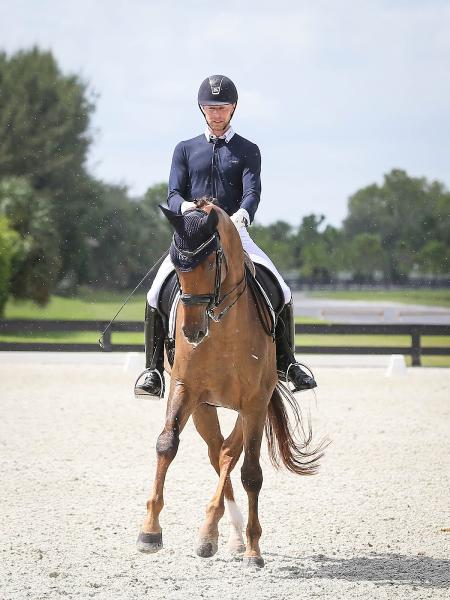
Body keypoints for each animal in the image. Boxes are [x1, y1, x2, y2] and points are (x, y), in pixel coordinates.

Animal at [135, 198, 326, 568]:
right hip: (205, 409)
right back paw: (216, 534)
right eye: (177, 266)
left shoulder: (255, 402)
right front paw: (149, 531)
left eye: (212, 261)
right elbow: (166, 444)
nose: (192, 332)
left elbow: (251, 473)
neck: (221, 327)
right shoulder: (186, 391)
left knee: (228, 454)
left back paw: (230, 537)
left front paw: (254, 550)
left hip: (249, 409)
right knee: (217, 453)